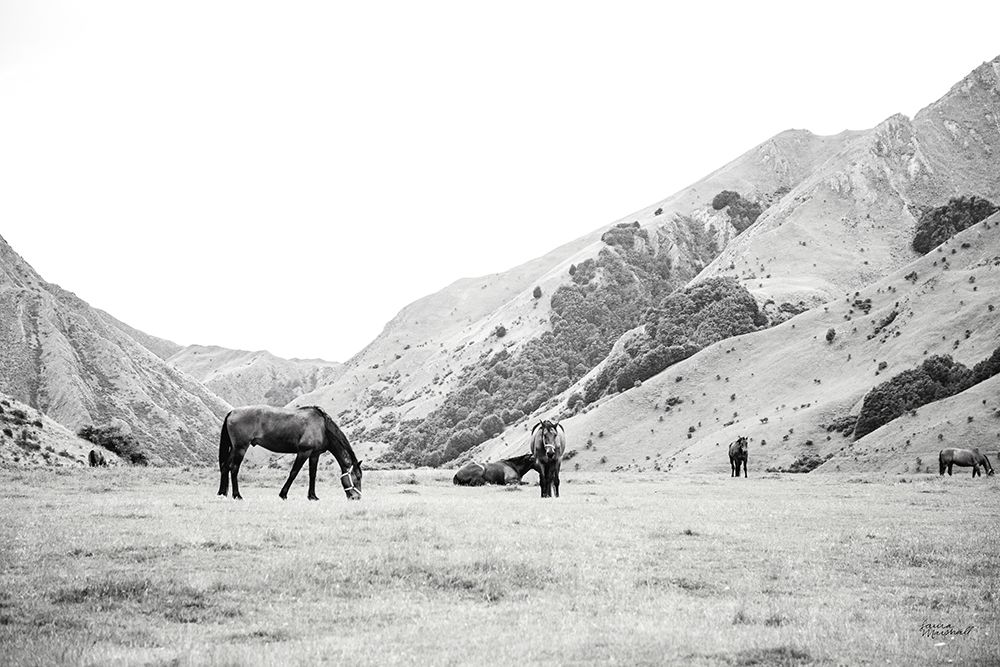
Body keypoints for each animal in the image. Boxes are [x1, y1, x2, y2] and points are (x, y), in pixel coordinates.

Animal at [218, 405, 362, 501]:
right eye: (357, 477)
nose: (357, 497)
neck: (323, 427)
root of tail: (232, 412)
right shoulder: (304, 452)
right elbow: (294, 472)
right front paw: (283, 494)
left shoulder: (314, 454)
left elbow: (312, 475)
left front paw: (312, 496)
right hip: (240, 448)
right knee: (234, 468)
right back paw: (237, 495)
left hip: (234, 448)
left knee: (225, 467)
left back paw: (222, 493)